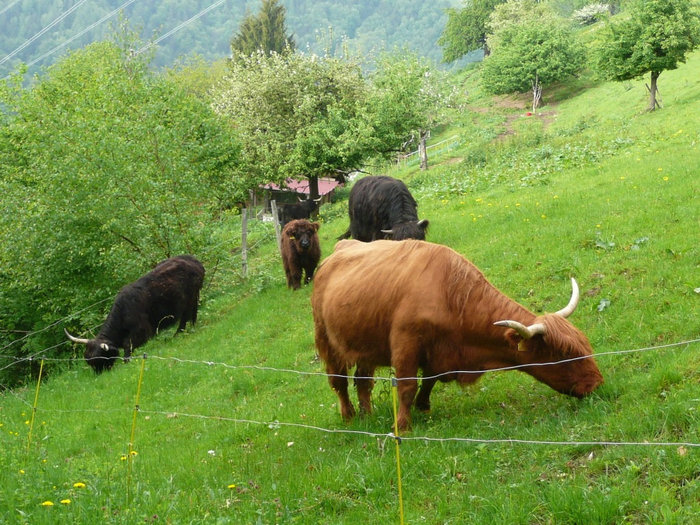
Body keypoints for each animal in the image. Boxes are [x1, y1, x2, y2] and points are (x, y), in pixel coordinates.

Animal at [64, 255, 205, 372]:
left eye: (100, 359)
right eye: (89, 361)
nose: (100, 374)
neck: (122, 312)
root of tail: (194, 261)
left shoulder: (141, 330)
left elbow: (128, 345)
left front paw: (126, 361)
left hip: (190, 298)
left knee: (185, 317)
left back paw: (178, 334)